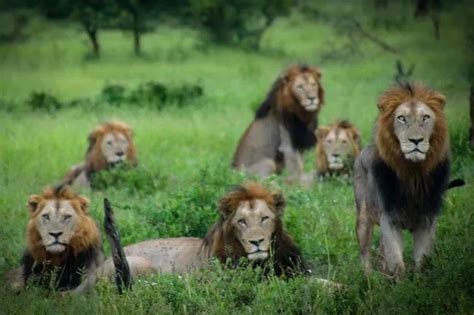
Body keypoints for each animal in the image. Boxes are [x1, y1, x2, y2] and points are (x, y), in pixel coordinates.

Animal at [352, 82, 462, 280]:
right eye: (401, 118)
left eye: (425, 117)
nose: (416, 140)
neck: (413, 175)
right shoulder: (389, 219)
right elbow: (397, 261)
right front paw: (401, 285)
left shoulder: (427, 220)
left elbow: (422, 260)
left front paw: (419, 283)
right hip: (363, 215)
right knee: (365, 252)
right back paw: (370, 278)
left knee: (380, 250)